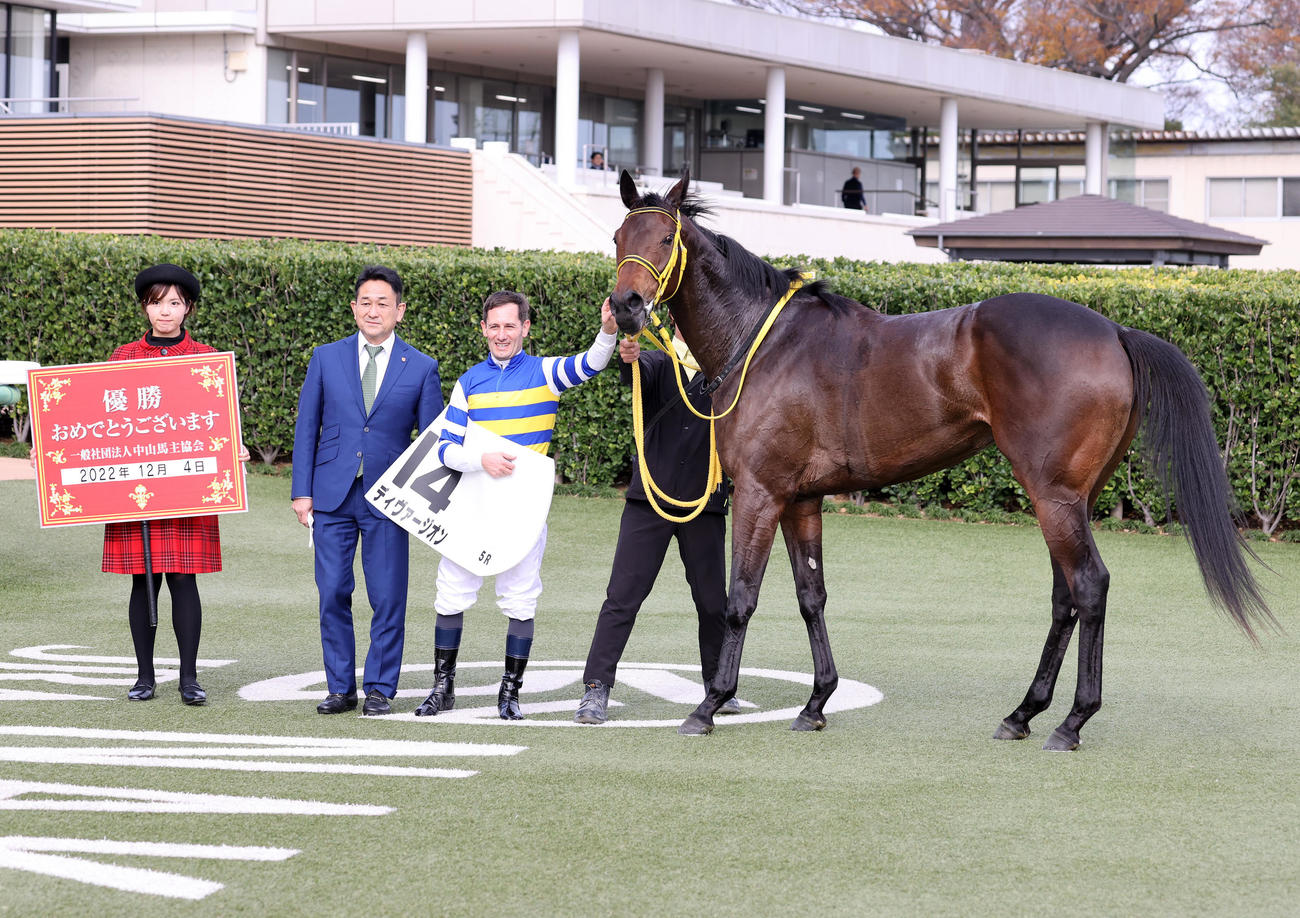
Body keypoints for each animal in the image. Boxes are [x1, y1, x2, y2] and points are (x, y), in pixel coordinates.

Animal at [608, 168, 1274, 750]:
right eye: (618, 238)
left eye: (664, 239)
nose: (628, 307)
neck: (764, 341)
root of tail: (1115, 331)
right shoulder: (801, 500)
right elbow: (810, 596)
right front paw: (817, 701)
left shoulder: (759, 493)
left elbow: (739, 599)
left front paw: (709, 703)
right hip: (1070, 501)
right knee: (1065, 596)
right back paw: (1023, 712)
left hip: (1054, 497)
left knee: (1089, 586)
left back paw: (1071, 721)